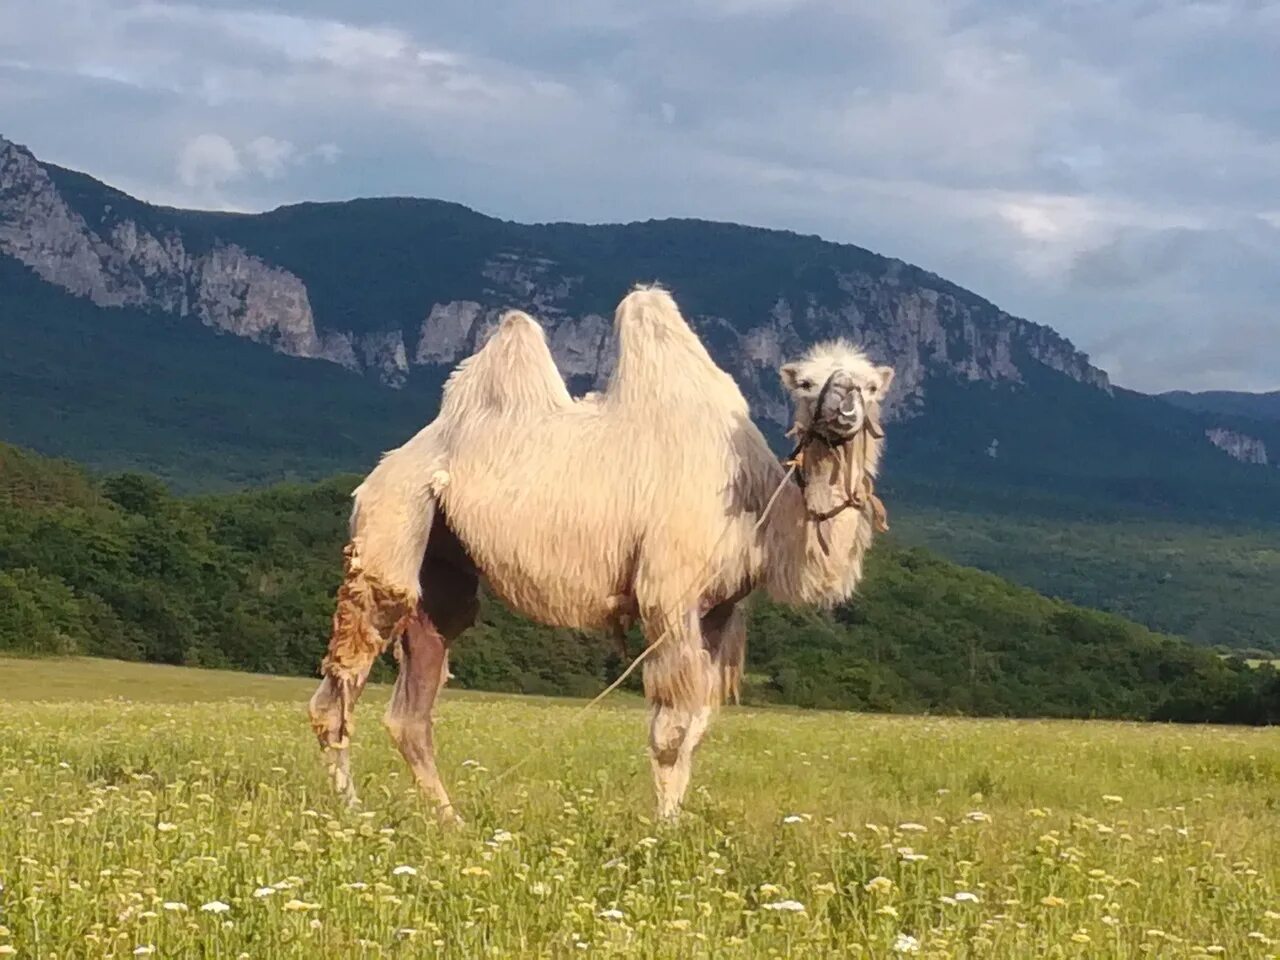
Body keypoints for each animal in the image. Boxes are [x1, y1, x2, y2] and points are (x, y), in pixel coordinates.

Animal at [305, 281, 896, 824]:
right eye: (807, 383)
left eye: (870, 385)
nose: (843, 409)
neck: (757, 509)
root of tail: (383, 471)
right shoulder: (667, 597)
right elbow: (670, 729)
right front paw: (664, 832)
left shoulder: (722, 613)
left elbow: (697, 728)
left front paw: (676, 824)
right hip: (390, 528)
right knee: (339, 689)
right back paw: (350, 812)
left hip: (442, 570)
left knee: (413, 704)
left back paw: (451, 823)